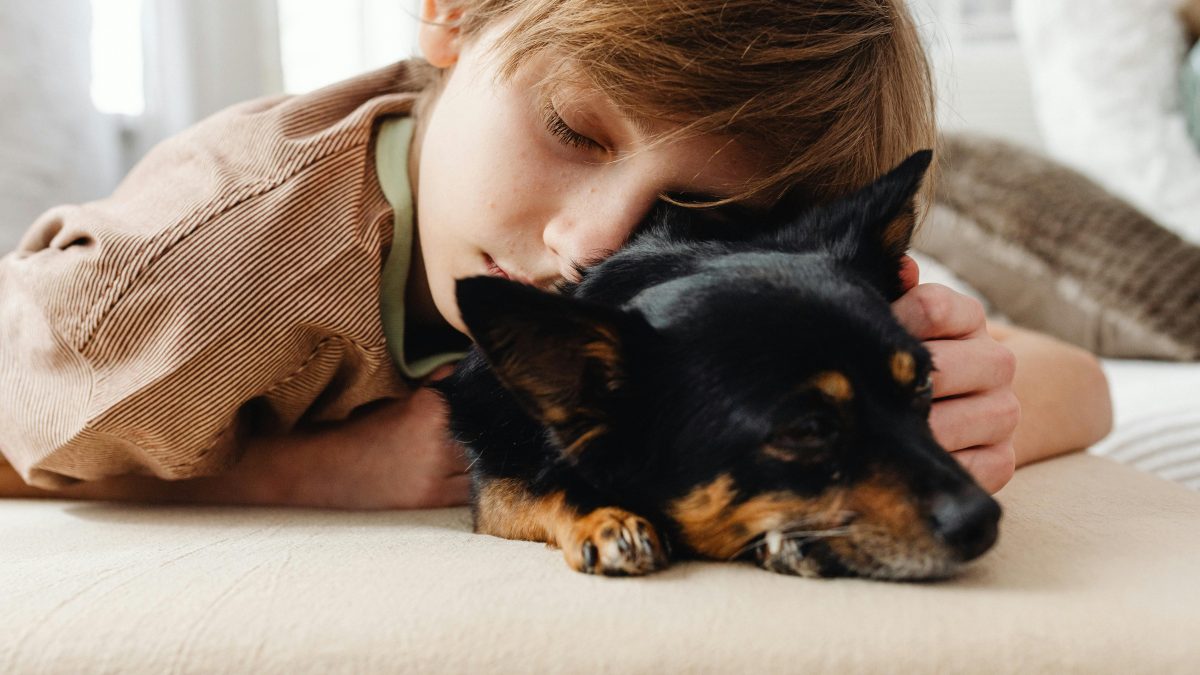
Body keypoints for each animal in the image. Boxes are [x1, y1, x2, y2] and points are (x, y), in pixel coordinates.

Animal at [436, 151, 998, 578]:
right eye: (808, 429)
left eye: (924, 384)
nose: (986, 520)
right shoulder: (496, 478)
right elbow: (533, 484)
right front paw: (605, 517)